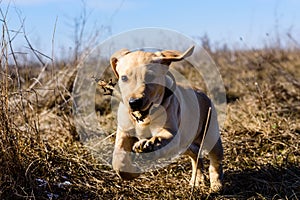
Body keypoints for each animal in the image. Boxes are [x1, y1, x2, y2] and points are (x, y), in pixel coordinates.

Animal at [110, 46, 223, 191]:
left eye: (150, 76)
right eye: (124, 78)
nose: (134, 102)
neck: (145, 116)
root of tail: (202, 92)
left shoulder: (171, 134)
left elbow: (160, 139)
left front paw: (149, 145)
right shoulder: (124, 133)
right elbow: (118, 161)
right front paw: (131, 172)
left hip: (210, 134)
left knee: (215, 161)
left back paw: (216, 184)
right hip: (185, 144)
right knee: (196, 155)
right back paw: (197, 180)